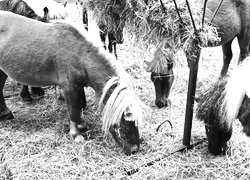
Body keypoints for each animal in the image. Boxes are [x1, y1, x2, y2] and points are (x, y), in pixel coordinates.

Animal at [0, 11, 147, 155]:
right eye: (127, 126)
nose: (134, 149)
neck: (79, 53)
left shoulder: (79, 86)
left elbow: (79, 105)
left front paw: (81, 125)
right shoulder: (69, 88)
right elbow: (73, 110)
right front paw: (76, 134)